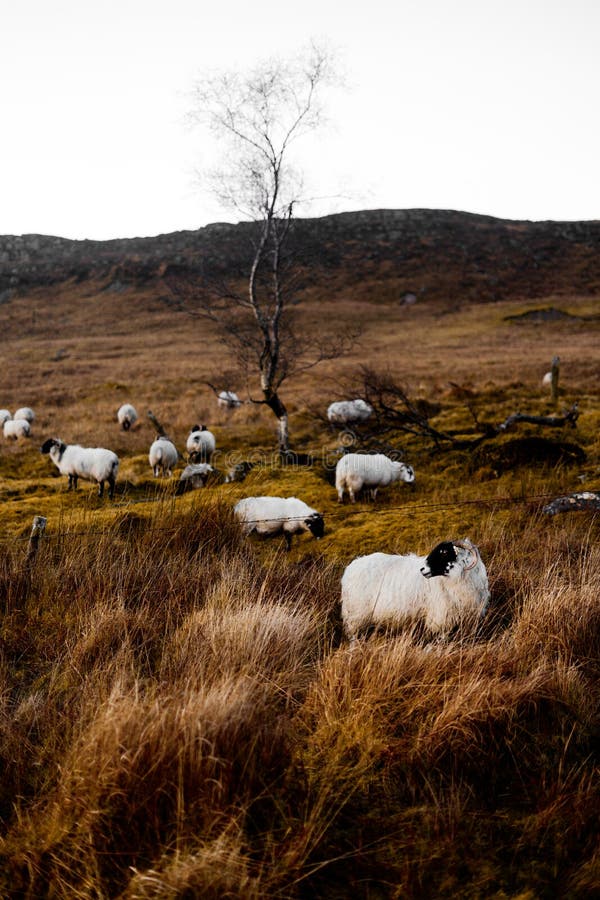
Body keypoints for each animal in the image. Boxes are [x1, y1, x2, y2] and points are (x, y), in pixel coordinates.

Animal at [340, 536, 490, 644]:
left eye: (444, 553)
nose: (422, 569)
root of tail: (350, 568)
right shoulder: (442, 617)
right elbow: (443, 639)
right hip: (356, 614)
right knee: (354, 637)